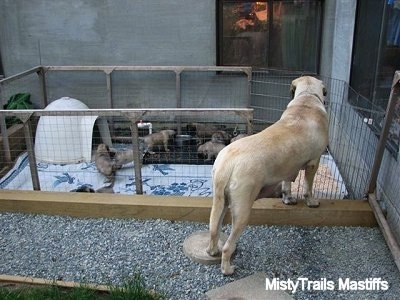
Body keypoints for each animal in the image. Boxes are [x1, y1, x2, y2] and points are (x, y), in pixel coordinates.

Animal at [206, 76, 328, 276]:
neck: (307, 98)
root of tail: (228, 163)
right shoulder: (313, 162)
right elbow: (308, 187)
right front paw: (311, 202)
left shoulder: (289, 167)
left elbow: (287, 184)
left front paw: (288, 199)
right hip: (242, 210)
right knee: (228, 245)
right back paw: (227, 268)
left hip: (219, 202)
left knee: (214, 229)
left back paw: (212, 251)